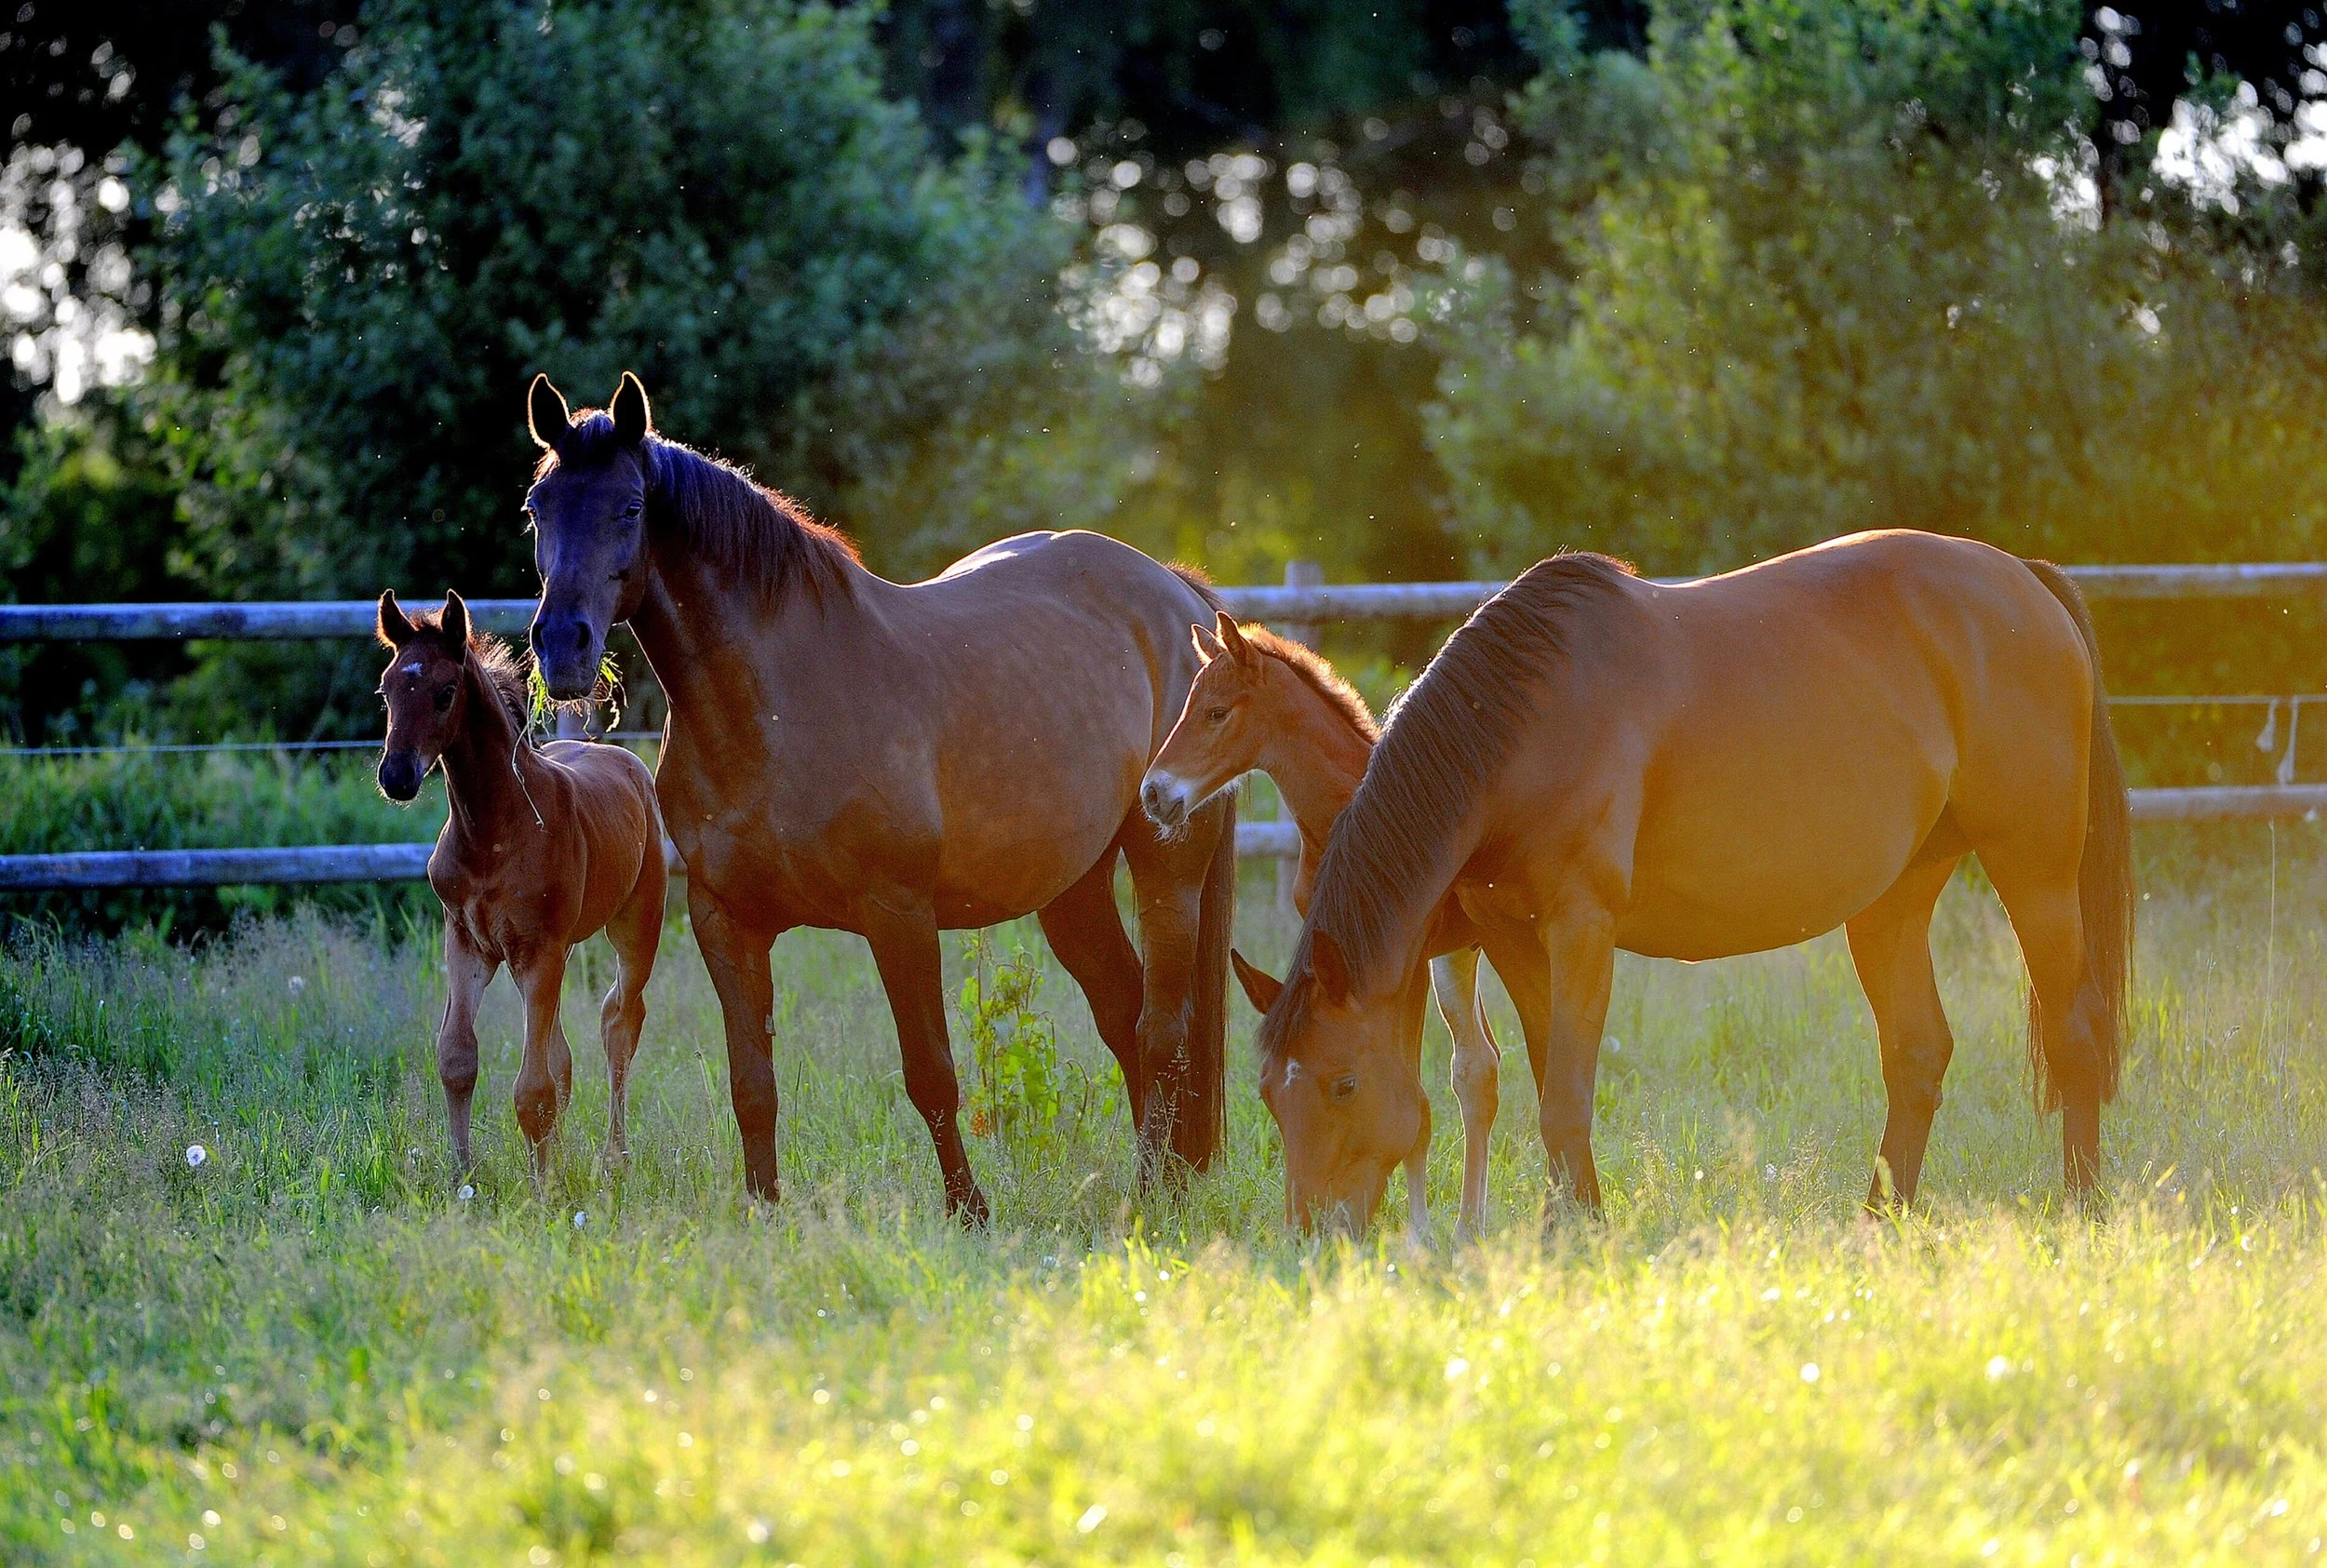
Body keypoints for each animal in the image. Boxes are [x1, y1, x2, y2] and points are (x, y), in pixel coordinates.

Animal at [375, 589, 668, 1182]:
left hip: (635, 926)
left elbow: (533, 1088)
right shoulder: (468, 941)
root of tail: (622, 757)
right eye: (388, 688)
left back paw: (615, 1156)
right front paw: (463, 1179)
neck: (493, 831)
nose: (396, 776)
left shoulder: (539, 949)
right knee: (564, 1054)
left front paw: (542, 1189)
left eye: (445, 693)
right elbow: (458, 1057)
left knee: (620, 1021)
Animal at [518, 373, 1237, 1221]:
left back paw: (1157, 1196)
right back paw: (1161, 1180)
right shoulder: (724, 920)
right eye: (538, 505)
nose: (561, 645)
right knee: (1125, 1018)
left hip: (1167, 868)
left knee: (1163, 1031)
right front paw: (766, 1213)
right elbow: (752, 1085)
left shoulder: (898, 913)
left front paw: (970, 1213)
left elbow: (931, 1075)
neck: (776, 701)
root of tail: (1179, 597)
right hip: (1073, 889)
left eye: (629, 506)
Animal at [1139, 611, 1505, 1238]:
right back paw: (1469, 1228)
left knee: (1476, 1070)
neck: (1344, 808)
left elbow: (1413, 1100)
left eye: (1216, 712)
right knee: (1478, 1068)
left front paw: (1416, 1235)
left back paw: (1464, 1229)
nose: (1154, 794)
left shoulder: (1401, 958)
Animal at [1230, 531, 2133, 1232]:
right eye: (1270, 1094)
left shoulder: (1583, 927)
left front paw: (1571, 1235)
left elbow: (1566, 1097)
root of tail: (2026, 579)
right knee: (1916, 1054)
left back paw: (2081, 1210)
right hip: (1893, 899)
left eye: (1343, 1084)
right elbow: (1553, 1086)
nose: (1313, 1233)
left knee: (2075, 1033)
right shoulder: (1515, 935)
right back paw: (1879, 1224)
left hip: (2036, 874)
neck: (1527, 726)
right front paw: (1576, 1225)